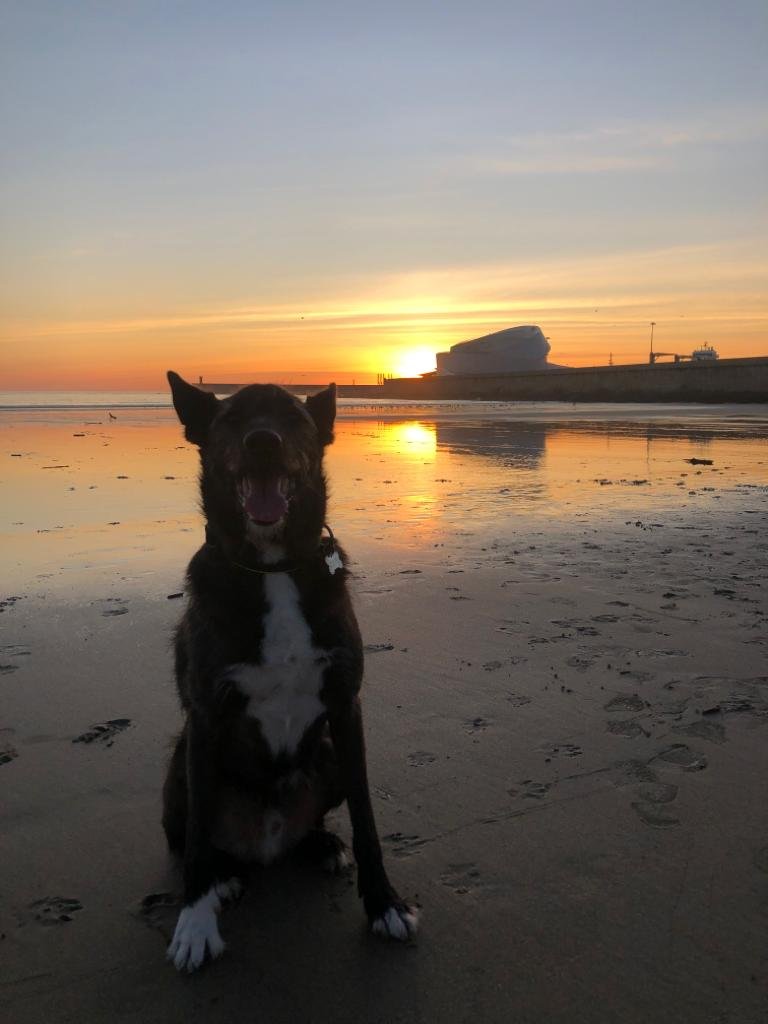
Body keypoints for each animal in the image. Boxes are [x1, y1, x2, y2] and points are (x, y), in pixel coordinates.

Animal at [159, 372, 417, 970]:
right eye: (231, 419)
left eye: (294, 420)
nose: (263, 442)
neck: (271, 568)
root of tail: (265, 843)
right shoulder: (205, 717)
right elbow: (198, 834)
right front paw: (195, 921)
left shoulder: (345, 708)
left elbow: (367, 818)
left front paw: (383, 904)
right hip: (181, 764)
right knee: (190, 838)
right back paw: (222, 878)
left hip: (324, 755)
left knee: (312, 825)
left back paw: (320, 843)